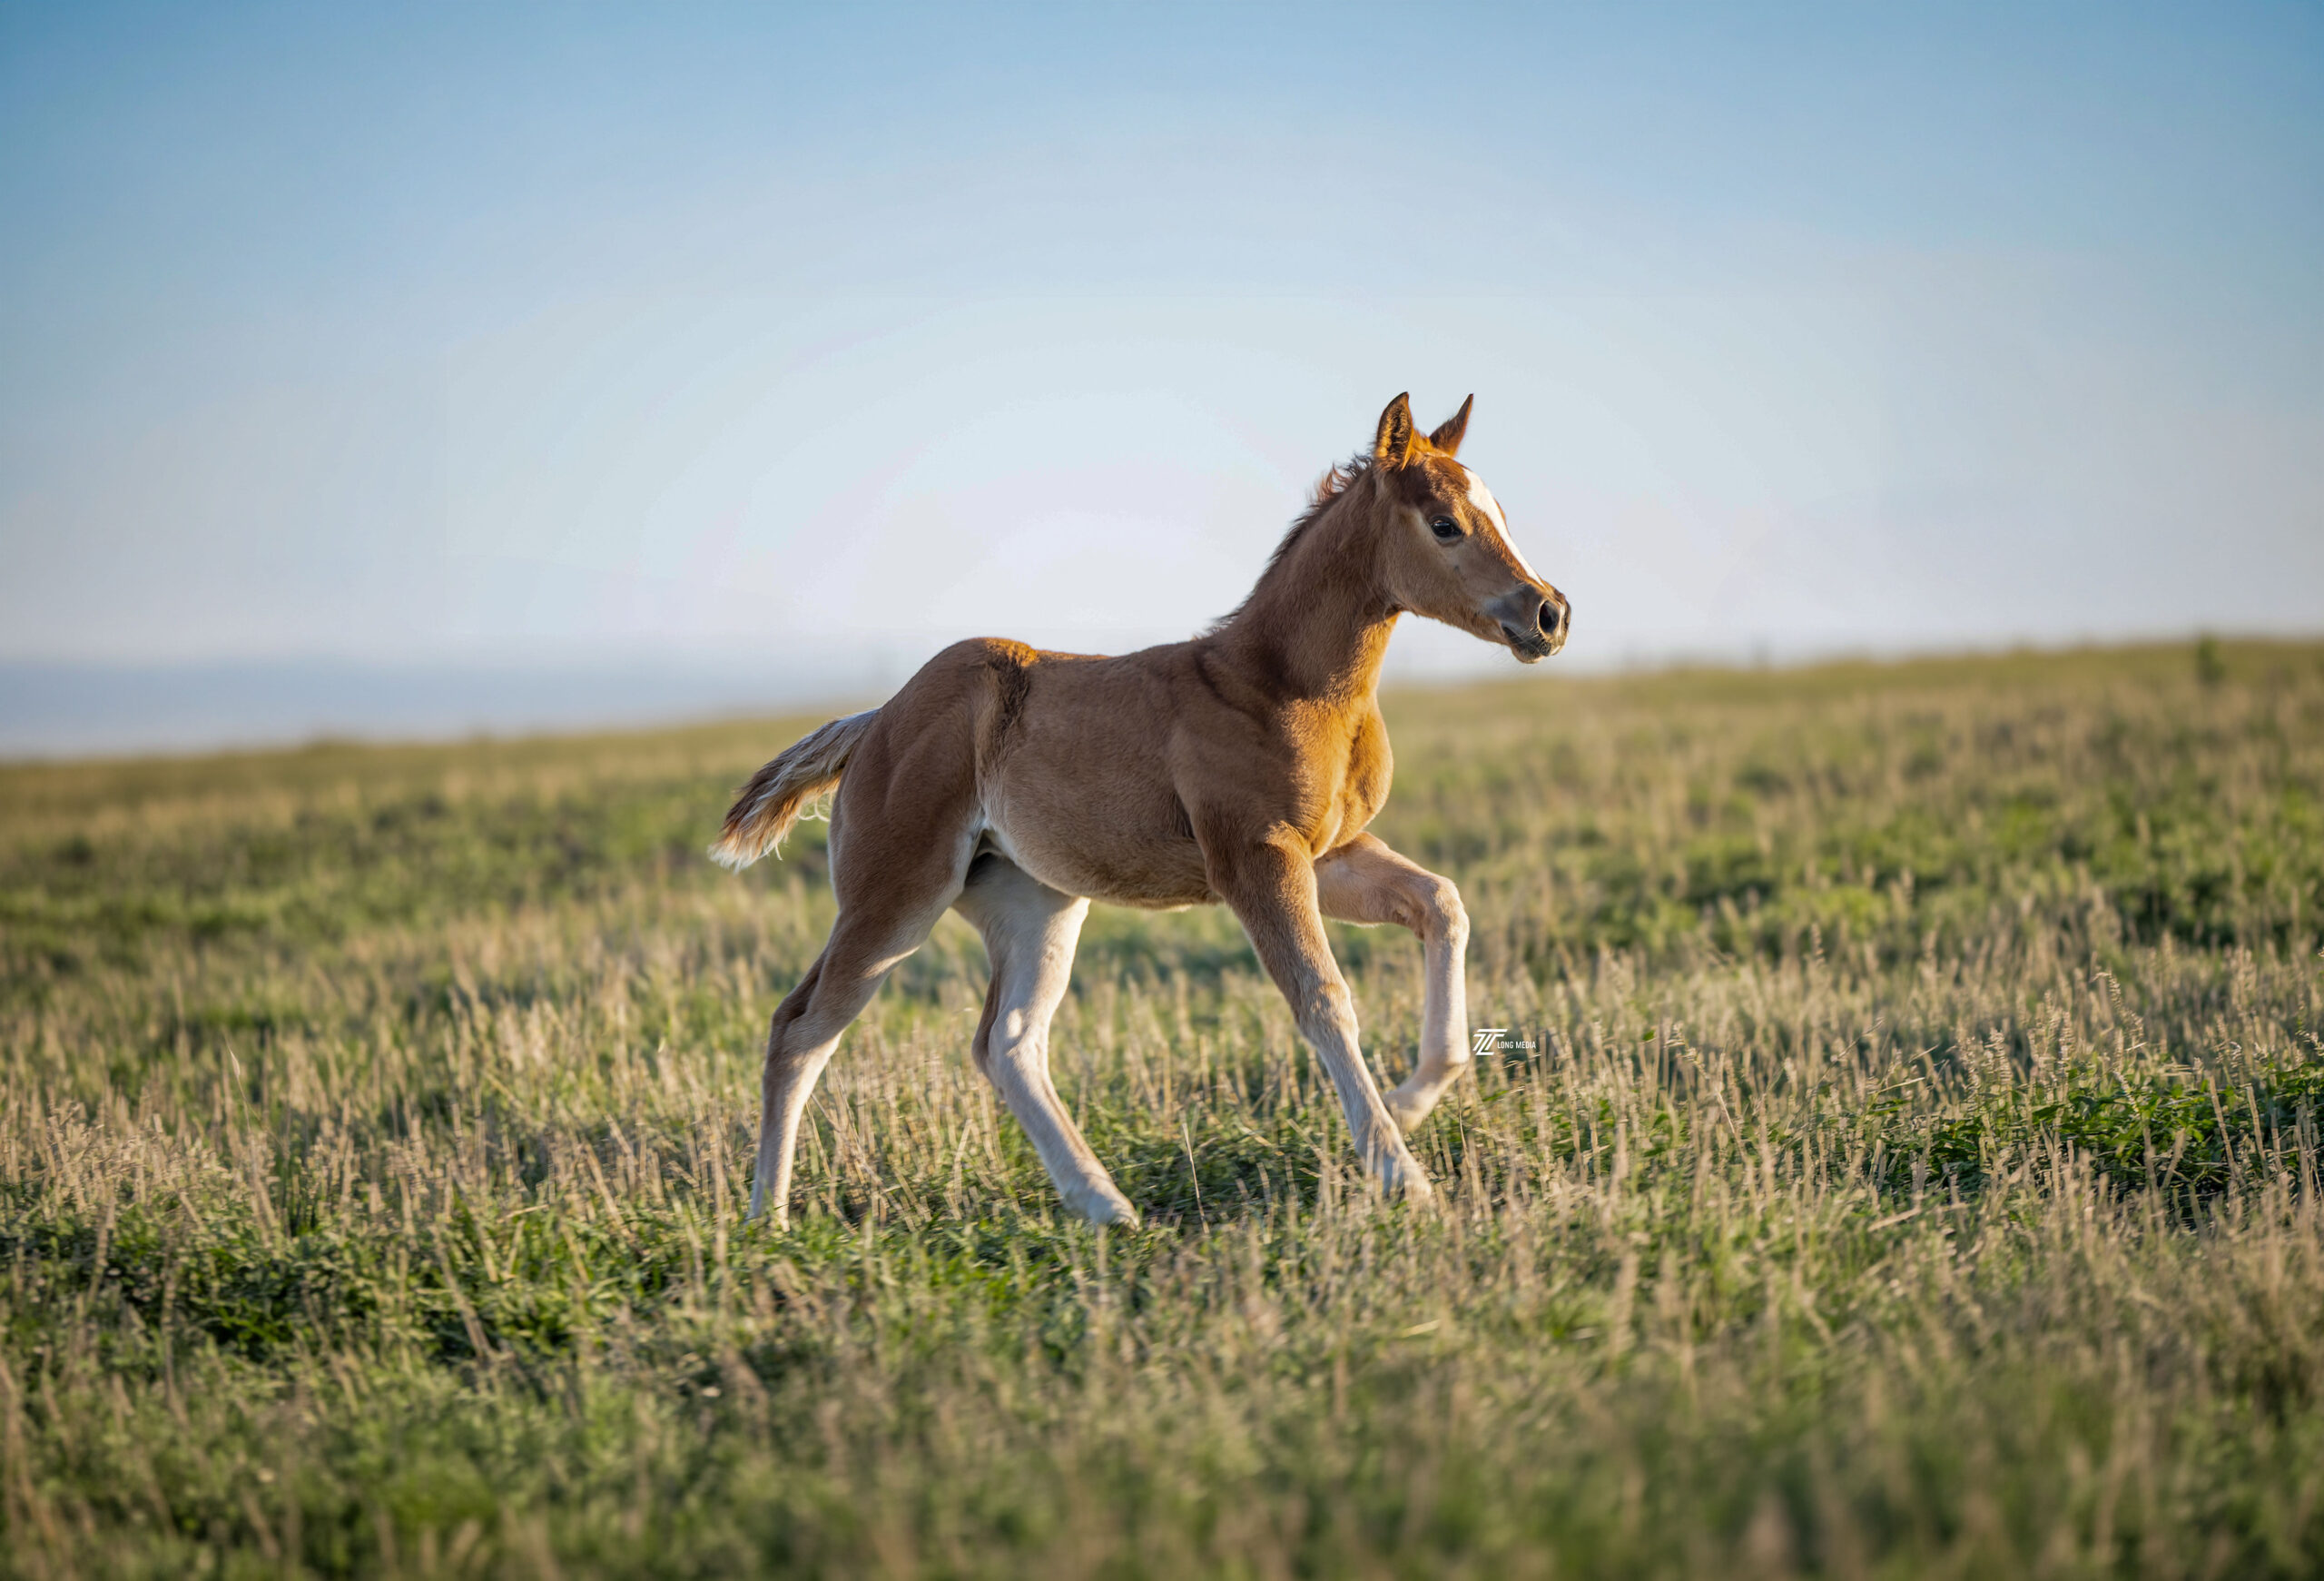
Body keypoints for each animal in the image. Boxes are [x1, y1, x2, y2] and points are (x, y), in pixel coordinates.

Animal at [712, 393, 1569, 1225]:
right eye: (1445, 523)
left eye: (1500, 513)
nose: (1549, 613)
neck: (1280, 685)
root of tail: (873, 723)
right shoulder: (1256, 859)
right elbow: (1324, 998)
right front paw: (1401, 1173)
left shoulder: (1328, 854)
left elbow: (1441, 904)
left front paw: (1411, 1099)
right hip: (894, 897)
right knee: (802, 1028)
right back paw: (768, 1222)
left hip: (1034, 901)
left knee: (1008, 1043)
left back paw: (1105, 1205)